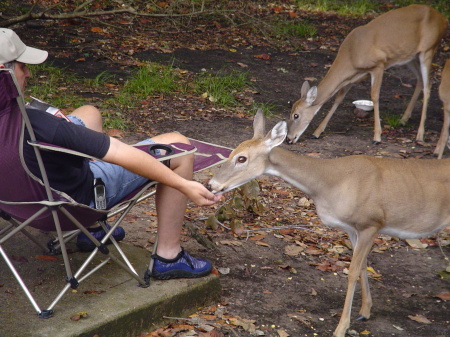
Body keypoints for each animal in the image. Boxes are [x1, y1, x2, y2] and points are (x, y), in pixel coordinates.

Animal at [208, 109, 450, 336]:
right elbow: (363, 266)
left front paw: (341, 328)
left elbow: (352, 271)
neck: (329, 183)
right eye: (231, 152)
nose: (211, 184)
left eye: (242, 158)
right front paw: (365, 312)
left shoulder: (371, 222)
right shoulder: (353, 228)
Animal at [286, 4, 448, 144]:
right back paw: (403, 119)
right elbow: (338, 99)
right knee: (420, 80)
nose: (289, 138)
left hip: (428, 49)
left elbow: (374, 96)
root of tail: (443, 19)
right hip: (410, 57)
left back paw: (420, 135)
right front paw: (317, 132)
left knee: (428, 86)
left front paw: (377, 137)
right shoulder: (352, 77)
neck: (351, 55)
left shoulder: (379, 65)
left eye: (296, 115)